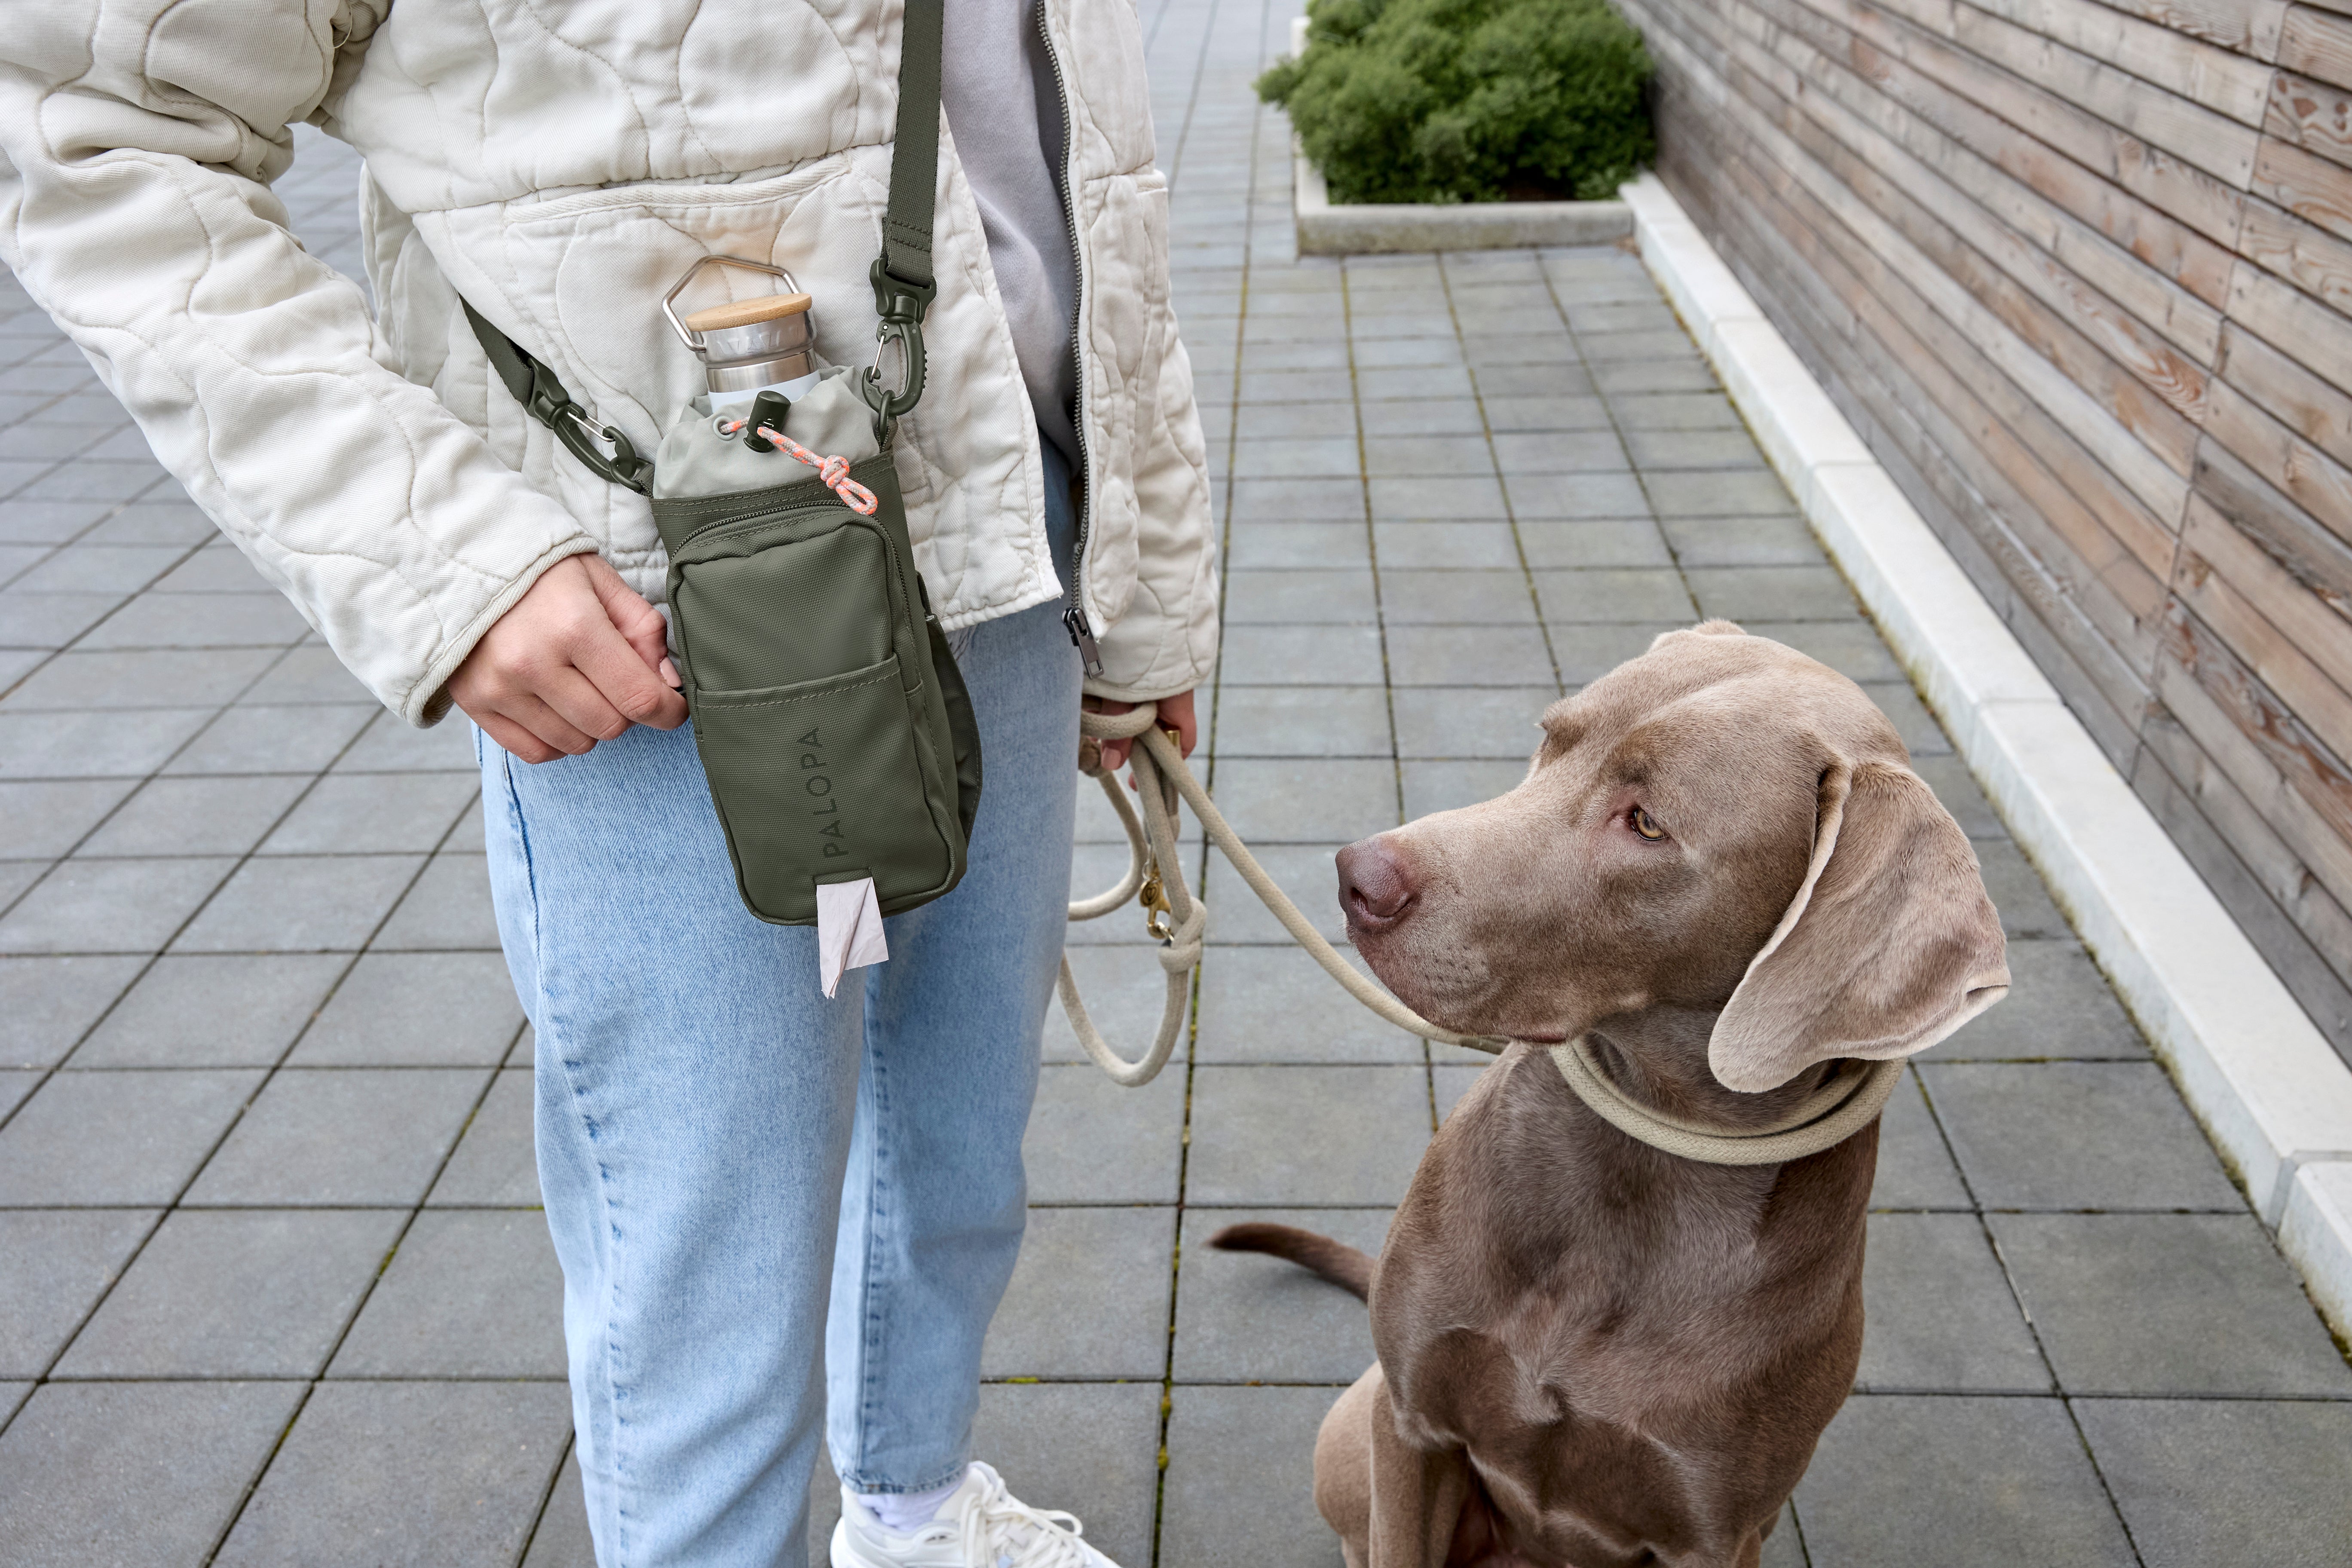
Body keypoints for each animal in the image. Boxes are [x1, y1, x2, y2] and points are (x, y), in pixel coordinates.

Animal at [1213, 620, 2004, 1568]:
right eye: (1553, 738)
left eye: (1648, 823)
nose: (1358, 876)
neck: (1636, 1166)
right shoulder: (1411, 1425)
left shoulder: (1715, 1530)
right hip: (1351, 1427)